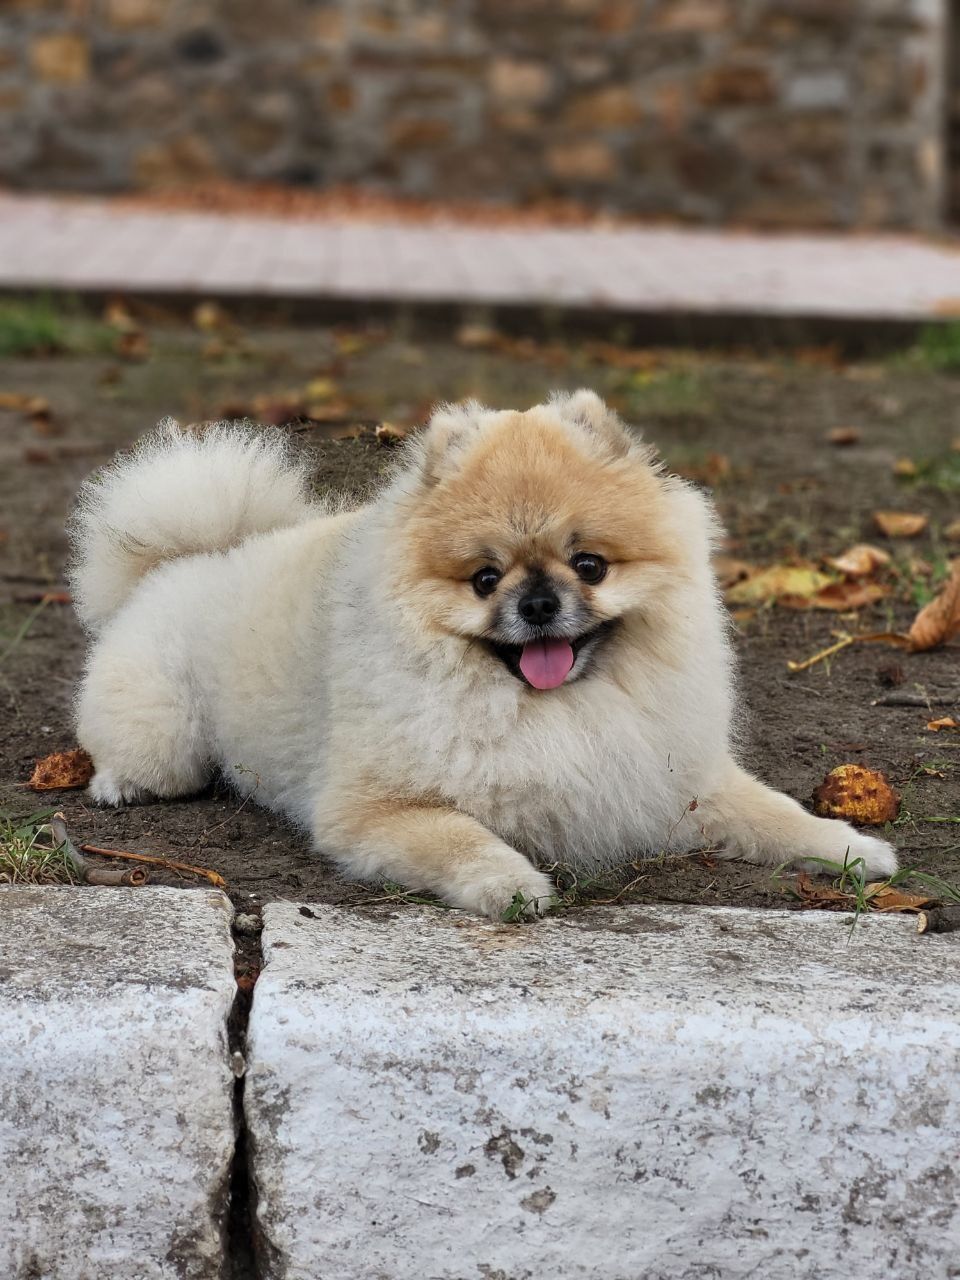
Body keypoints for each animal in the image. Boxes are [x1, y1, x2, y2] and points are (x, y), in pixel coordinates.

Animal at [71, 391, 901, 921]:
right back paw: (118, 785)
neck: (553, 710)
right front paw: (511, 884)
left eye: (590, 565)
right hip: (166, 734)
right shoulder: (378, 809)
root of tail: (185, 562)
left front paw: (853, 848)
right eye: (484, 578)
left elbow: (776, 813)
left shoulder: (672, 781)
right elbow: (463, 838)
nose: (537, 604)